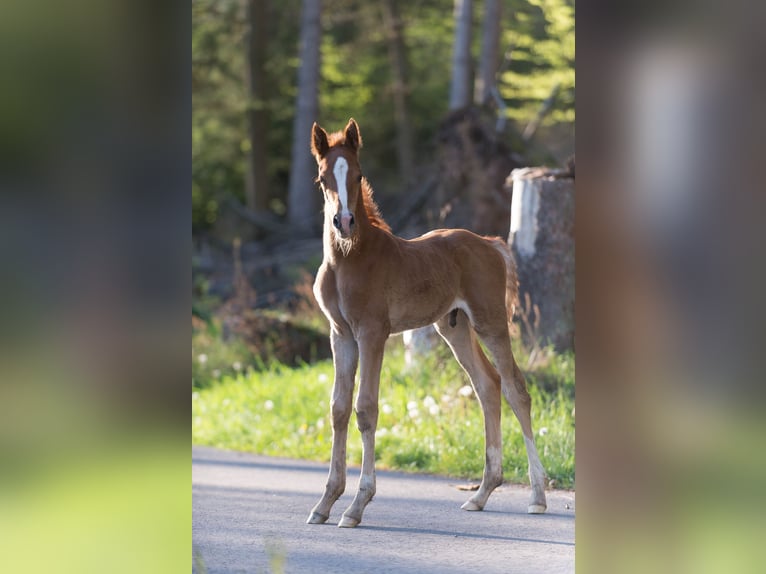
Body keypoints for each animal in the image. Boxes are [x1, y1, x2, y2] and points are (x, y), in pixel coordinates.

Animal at [308, 119, 548, 528]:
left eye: (357, 175)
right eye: (323, 178)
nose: (344, 222)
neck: (349, 258)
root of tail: (490, 243)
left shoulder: (372, 333)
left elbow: (365, 408)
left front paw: (357, 505)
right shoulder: (340, 335)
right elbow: (338, 408)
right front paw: (325, 503)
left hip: (490, 321)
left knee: (516, 389)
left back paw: (537, 496)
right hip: (453, 327)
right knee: (487, 385)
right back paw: (481, 494)